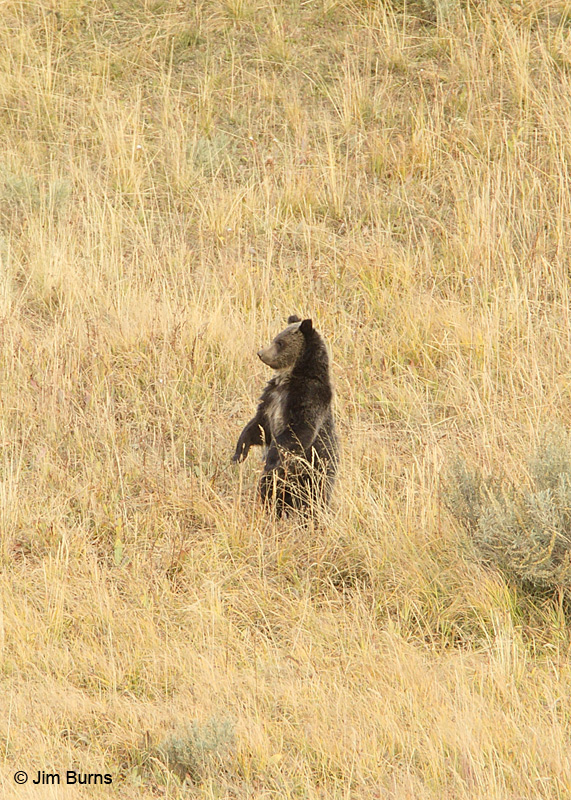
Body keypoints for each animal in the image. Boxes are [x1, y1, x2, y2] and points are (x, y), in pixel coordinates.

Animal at [232, 315, 339, 516]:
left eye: (280, 342)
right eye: (276, 337)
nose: (261, 353)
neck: (289, 379)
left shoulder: (307, 397)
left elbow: (298, 432)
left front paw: (271, 458)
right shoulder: (271, 400)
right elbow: (258, 427)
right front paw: (238, 453)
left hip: (313, 474)